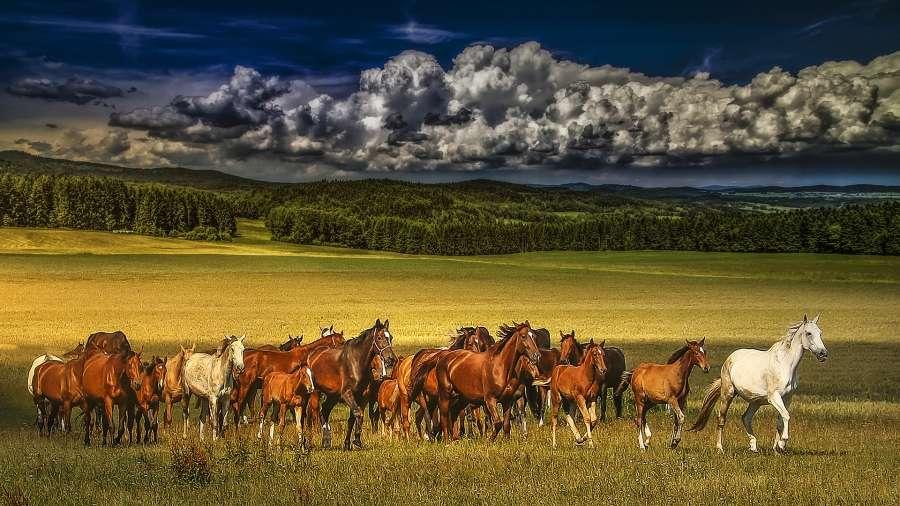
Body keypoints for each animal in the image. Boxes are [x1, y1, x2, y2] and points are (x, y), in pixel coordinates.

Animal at [305, 319, 397, 450]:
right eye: (379, 338)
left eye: (391, 337)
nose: (391, 359)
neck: (356, 362)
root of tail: (312, 355)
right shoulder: (347, 394)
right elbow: (358, 414)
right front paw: (357, 441)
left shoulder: (362, 397)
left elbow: (353, 418)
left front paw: (349, 443)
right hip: (316, 393)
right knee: (311, 413)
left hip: (333, 396)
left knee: (325, 411)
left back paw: (326, 441)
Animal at [689, 315, 828, 454]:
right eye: (808, 333)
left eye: (820, 333)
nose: (823, 354)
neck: (785, 365)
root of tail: (730, 358)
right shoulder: (774, 397)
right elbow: (786, 416)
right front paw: (782, 443)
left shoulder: (787, 398)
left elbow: (781, 421)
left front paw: (776, 449)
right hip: (728, 394)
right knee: (721, 419)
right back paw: (720, 448)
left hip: (756, 401)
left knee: (746, 418)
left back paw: (753, 447)